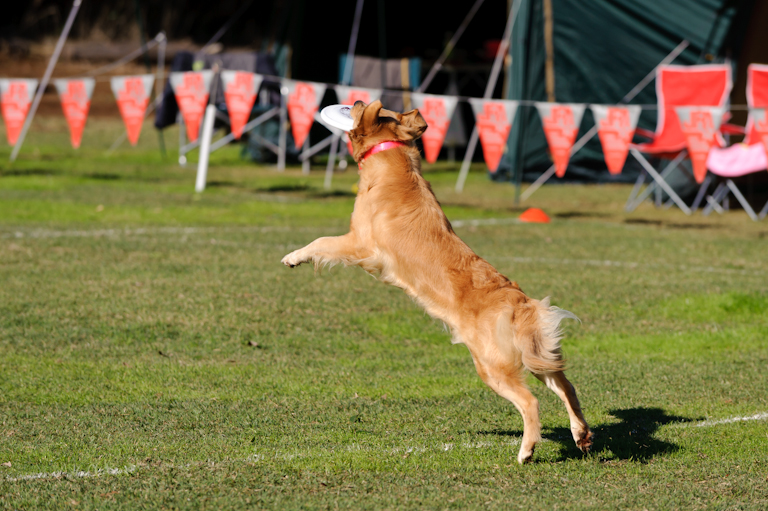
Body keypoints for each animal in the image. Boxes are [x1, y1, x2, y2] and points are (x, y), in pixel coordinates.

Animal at [282, 100, 592, 464]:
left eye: (363, 108)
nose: (355, 101)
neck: (390, 155)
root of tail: (520, 302)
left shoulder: (360, 243)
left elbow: (320, 241)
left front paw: (293, 256)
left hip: (492, 365)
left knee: (531, 402)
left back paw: (527, 450)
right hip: (536, 355)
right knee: (567, 386)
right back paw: (581, 434)